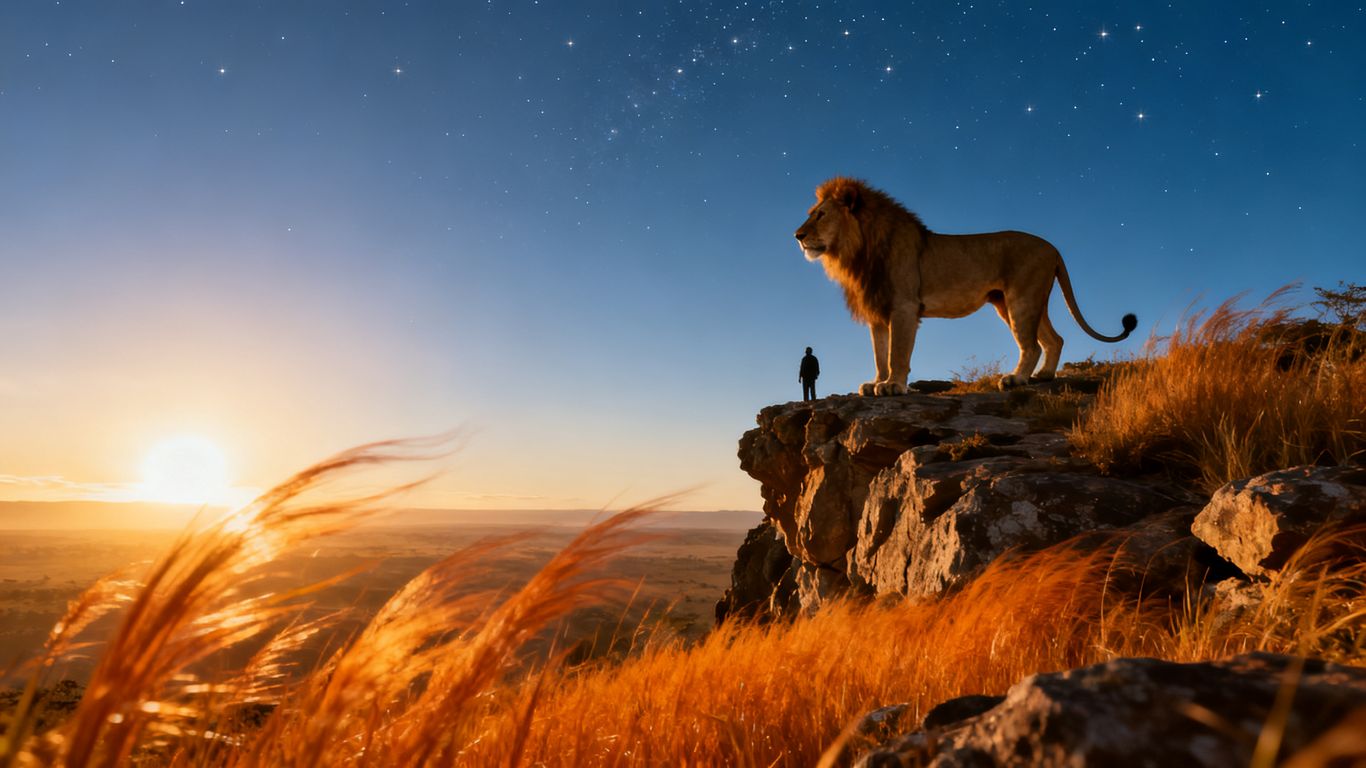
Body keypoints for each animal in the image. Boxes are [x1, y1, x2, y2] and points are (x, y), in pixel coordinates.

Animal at [794, 177, 1136, 394]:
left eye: (821, 215)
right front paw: (874, 383)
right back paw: (1043, 376)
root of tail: (1054, 248)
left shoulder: (903, 307)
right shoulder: (877, 311)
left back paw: (1016, 380)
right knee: (1054, 339)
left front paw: (893, 386)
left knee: (1032, 345)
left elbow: (896, 353)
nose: (797, 236)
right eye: (812, 213)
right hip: (1017, 302)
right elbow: (879, 354)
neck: (858, 250)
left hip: (1021, 299)